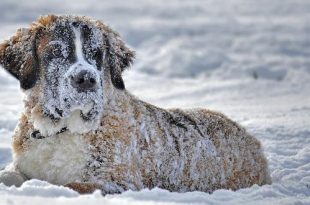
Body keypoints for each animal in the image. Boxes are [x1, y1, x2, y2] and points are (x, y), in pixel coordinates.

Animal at [0, 14, 272, 194]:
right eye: (56, 53)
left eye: (97, 54)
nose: (86, 79)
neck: (62, 130)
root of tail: (251, 140)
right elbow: (8, 174)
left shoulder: (119, 182)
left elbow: (72, 185)